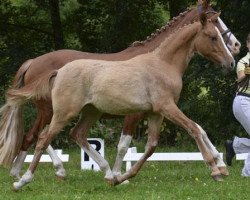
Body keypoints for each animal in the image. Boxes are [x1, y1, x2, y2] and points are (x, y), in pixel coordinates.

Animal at [11, 12, 234, 191]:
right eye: (213, 36)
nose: (231, 62)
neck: (162, 64)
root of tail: (58, 71)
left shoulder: (156, 113)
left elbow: (151, 146)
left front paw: (122, 177)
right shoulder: (166, 107)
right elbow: (193, 129)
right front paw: (216, 170)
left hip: (90, 112)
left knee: (76, 134)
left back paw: (105, 173)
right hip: (61, 113)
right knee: (42, 139)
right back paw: (23, 180)